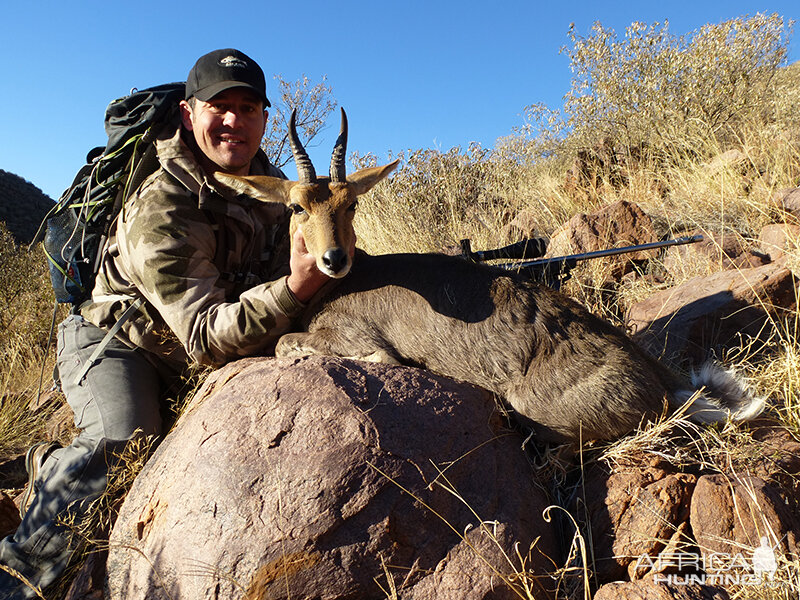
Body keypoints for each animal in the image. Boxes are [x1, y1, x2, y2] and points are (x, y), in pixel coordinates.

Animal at [216, 110, 764, 442]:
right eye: (296, 207)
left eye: (350, 203)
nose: (332, 258)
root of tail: (659, 378)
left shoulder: (354, 336)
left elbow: (289, 344)